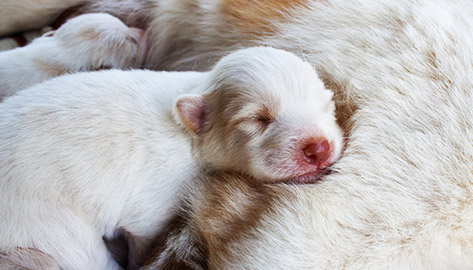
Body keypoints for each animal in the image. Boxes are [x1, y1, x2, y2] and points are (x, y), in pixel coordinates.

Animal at [0, 47, 342, 270]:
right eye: (257, 119)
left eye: (327, 106)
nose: (319, 148)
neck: (190, 136)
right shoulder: (151, 210)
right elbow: (143, 243)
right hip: (54, 230)